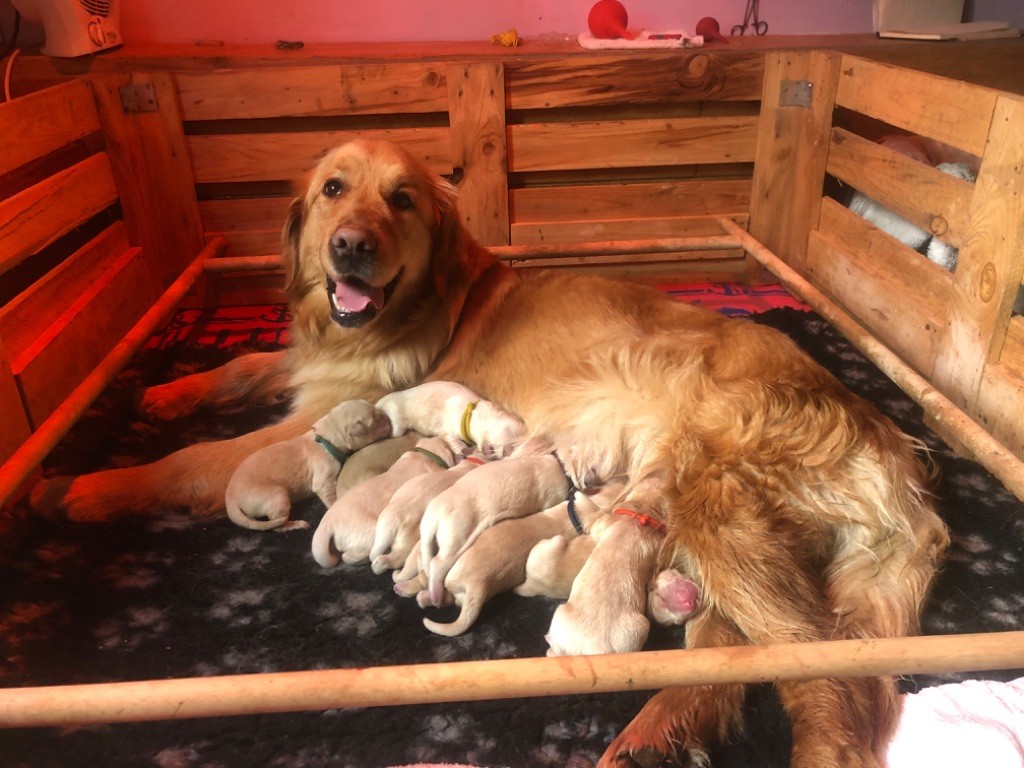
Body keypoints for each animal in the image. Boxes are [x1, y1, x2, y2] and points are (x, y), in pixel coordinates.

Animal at [226, 399, 389, 532]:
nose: (387, 416)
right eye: (376, 419)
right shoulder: (324, 477)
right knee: (277, 526)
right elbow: (330, 496)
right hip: (276, 497)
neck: (324, 438)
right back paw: (295, 524)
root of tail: (231, 498)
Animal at [374, 378, 524, 456]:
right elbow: (453, 441)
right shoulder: (447, 430)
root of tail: (379, 403)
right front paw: (462, 450)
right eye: (510, 432)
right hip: (397, 426)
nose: (509, 451)